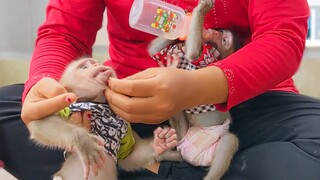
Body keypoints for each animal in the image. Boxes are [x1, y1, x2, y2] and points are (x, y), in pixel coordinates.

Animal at [27, 58, 178, 180]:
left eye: (94, 62)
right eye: (83, 67)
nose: (96, 64)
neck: (99, 101)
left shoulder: (125, 128)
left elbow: (127, 159)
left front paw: (160, 143)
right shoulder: (71, 103)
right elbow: (39, 123)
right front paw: (84, 142)